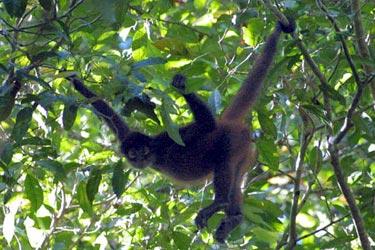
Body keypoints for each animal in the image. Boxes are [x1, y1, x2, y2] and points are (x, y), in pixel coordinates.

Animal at [67, 19, 296, 242]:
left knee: (222, 160)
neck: (155, 155)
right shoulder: (126, 136)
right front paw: (76, 82)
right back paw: (234, 218)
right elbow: (105, 111)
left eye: (143, 151)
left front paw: (181, 87)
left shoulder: (163, 141)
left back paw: (219, 203)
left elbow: (207, 125)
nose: (139, 158)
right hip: (246, 153)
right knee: (236, 178)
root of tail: (228, 123)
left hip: (232, 141)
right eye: (132, 153)